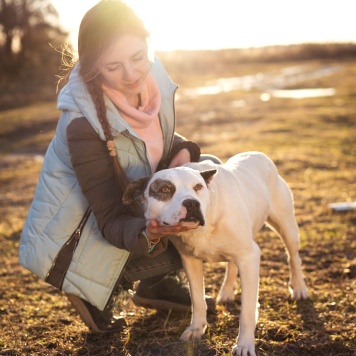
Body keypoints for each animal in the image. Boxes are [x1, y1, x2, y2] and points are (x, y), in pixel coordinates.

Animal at [121, 152, 306, 354]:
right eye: (165, 189)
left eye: (198, 187)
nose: (192, 203)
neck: (207, 220)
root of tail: (258, 153)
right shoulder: (190, 261)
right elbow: (197, 300)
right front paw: (196, 329)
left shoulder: (250, 257)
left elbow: (247, 311)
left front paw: (244, 344)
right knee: (232, 264)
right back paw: (227, 291)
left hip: (287, 226)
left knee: (293, 257)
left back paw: (299, 288)